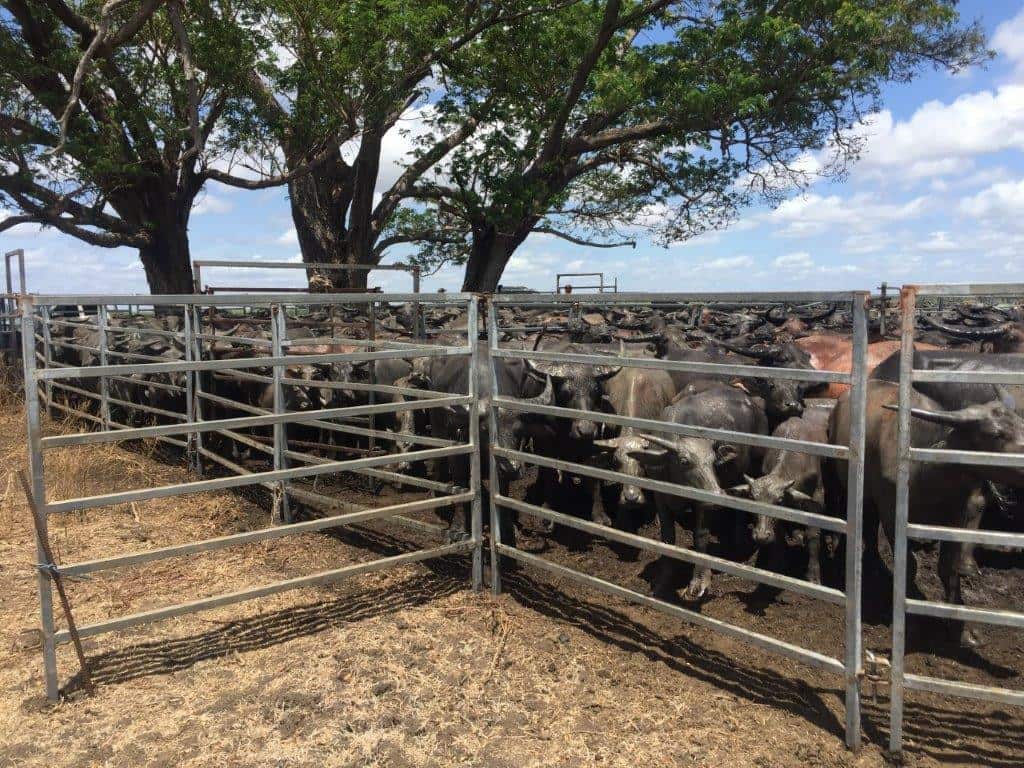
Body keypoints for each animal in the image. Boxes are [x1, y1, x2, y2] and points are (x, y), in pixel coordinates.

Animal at [831, 379, 1024, 647]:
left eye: (1021, 424)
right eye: (996, 435)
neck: (931, 473)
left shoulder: (963, 515)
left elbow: (949, 568)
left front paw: (961, 628)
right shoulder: (892, 514)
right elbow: (909, 565)